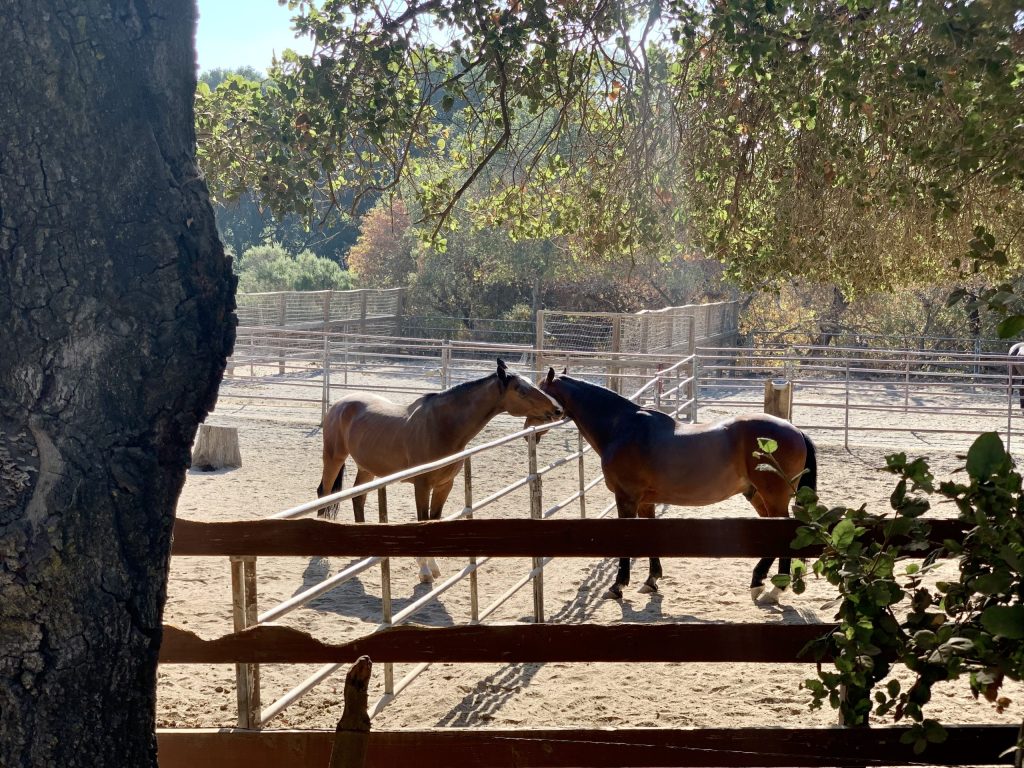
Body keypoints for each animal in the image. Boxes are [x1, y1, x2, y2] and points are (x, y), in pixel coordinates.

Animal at [318, 358, 563, 583]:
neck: (442, 427)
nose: (558, 409)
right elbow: (422, 520)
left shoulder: (445, 485)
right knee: (324, 492)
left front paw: (433, 568)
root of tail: (340, 404)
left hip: (368, 468)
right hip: (334, 458)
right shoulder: (422, 486)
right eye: (521, 390)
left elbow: (434, 520)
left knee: (358, 498)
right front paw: (424, 572)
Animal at [528, 368, 817, 604]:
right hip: (757, 496)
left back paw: (773, 590)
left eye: (540, 393)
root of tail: (795, 431)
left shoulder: (626, 499)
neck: (622, 427)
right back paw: (760, 583)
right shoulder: (645, 502)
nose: (530, 431)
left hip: (772, 497)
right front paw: (651, 581)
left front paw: (617, 586)